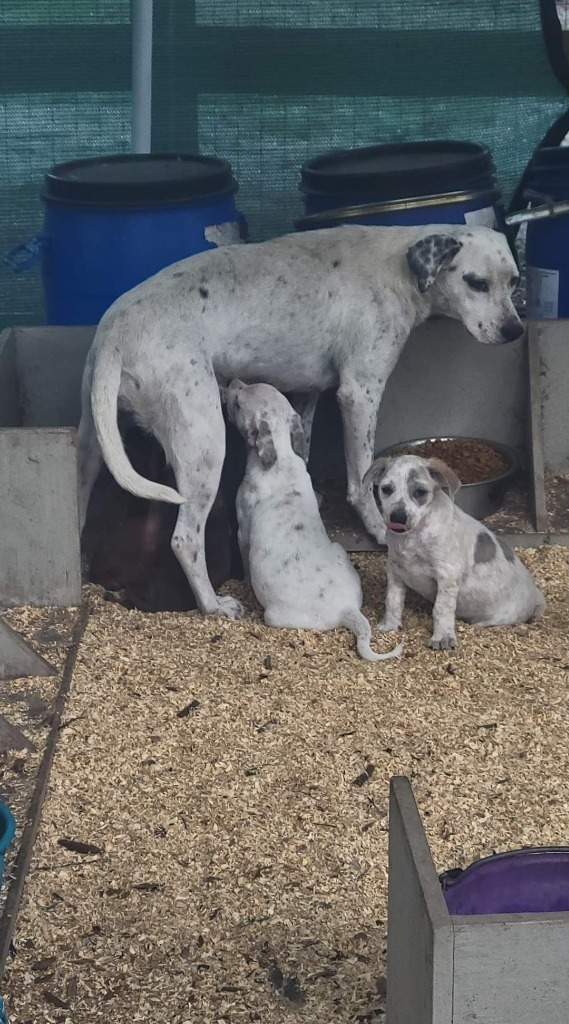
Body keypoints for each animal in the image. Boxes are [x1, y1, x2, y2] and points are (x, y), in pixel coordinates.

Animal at [77, 223, 521, 614]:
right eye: (476, 282)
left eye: (514, 281)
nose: (515, 331)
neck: (401, 268)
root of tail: (116, 333)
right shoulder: (359, 392)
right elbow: (361, 477)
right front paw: (377, 525)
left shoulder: (307, 394)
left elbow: (301, 446)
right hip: (204, 443)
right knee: (185, 539)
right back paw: (212, 605)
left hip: (92, 446)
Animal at [224, 380, 403, 659]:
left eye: (239, 402)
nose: (233, 382)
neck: (281, 456)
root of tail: (347, 609)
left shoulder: (243, 528)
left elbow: (243, 555)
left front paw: (242, 580)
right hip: (339, 550)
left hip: (273, 615)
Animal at [362, 454, 544, 651]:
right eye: (386, 489)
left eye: (420, 492)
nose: (397, 517)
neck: (412, 538)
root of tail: (536, 595)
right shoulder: (395, 569)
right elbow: (393, 600)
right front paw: (389, 625)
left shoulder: (447, 574)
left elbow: (441, 608)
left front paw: (442, 638)